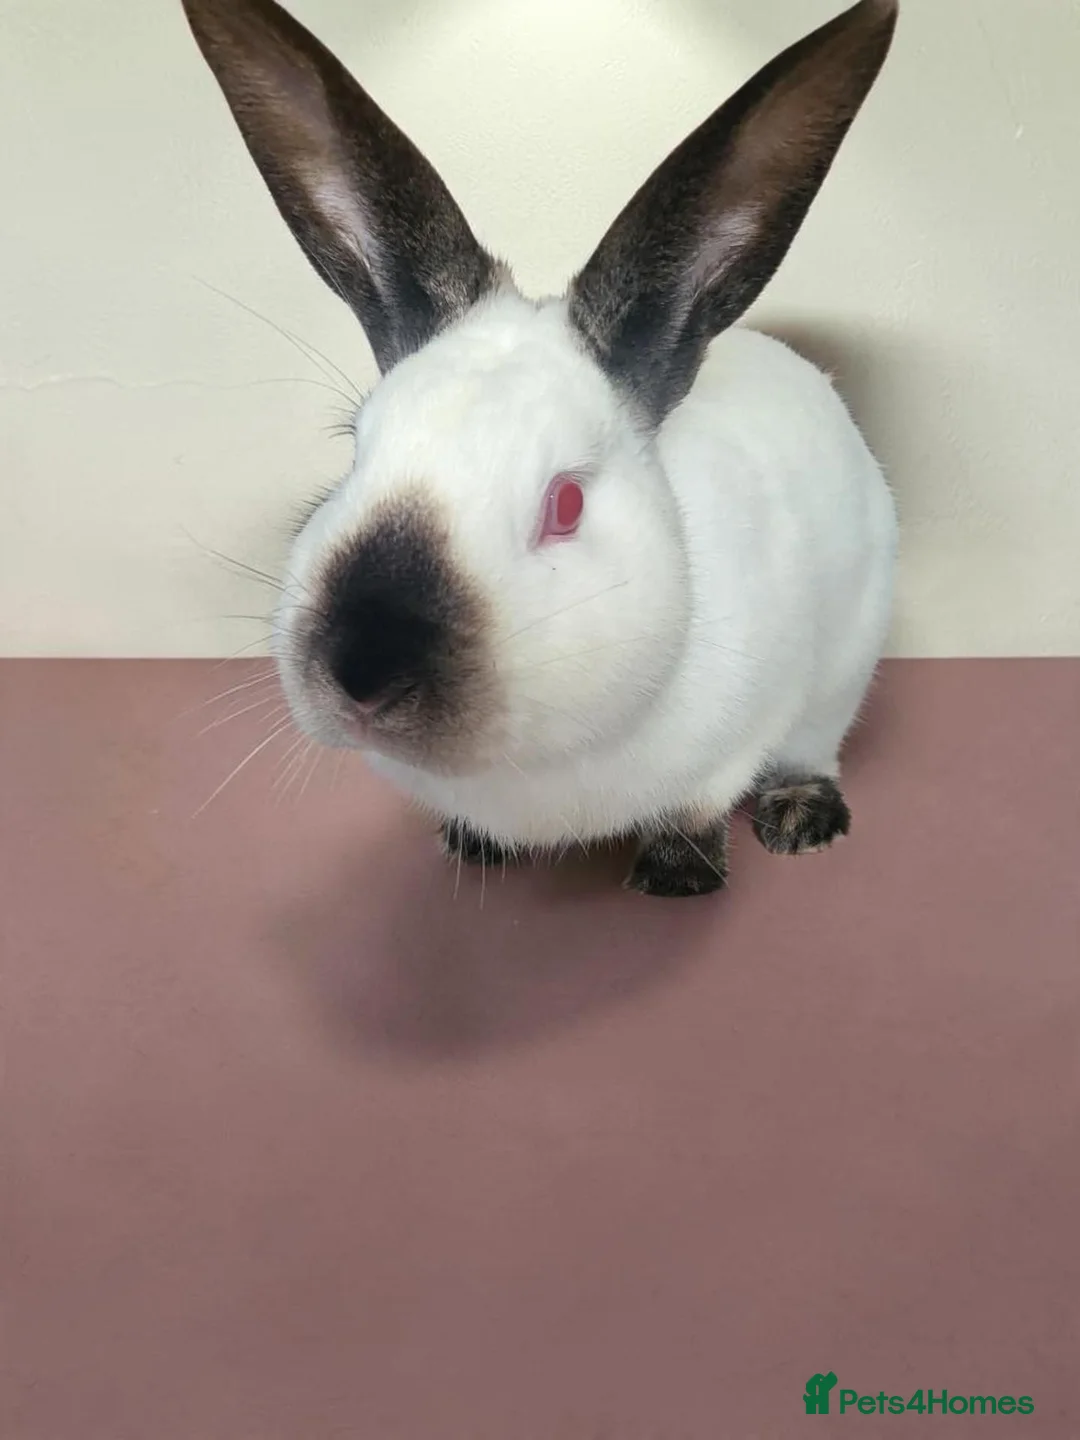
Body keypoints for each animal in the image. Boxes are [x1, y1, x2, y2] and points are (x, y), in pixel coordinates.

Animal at [181, 0, 899, 897]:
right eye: (351, 456)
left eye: (566, 504)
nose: (363, 675)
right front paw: (470, 844)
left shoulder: (736, 740)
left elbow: (701, 806)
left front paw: (676, 876)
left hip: (846, 666)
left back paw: (802, 820)